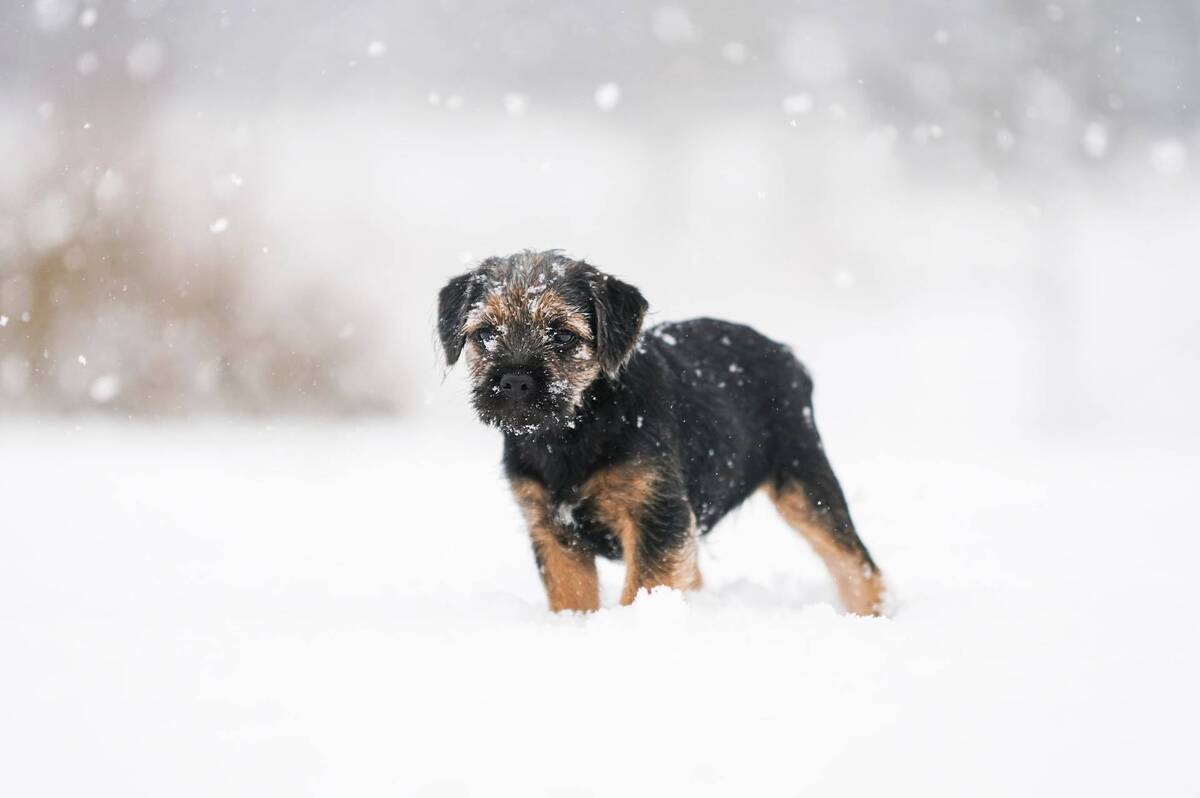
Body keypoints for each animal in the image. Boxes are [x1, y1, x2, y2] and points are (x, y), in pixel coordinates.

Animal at [436, 252, 888, 612]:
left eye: (562, 334)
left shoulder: (656, 515)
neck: (573, 431)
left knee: (855, 563)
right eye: (485, 333)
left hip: (804, 477)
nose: (514, 381)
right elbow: (572, 594)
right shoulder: (553, 530)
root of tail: (787, 355)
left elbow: (646, 585)